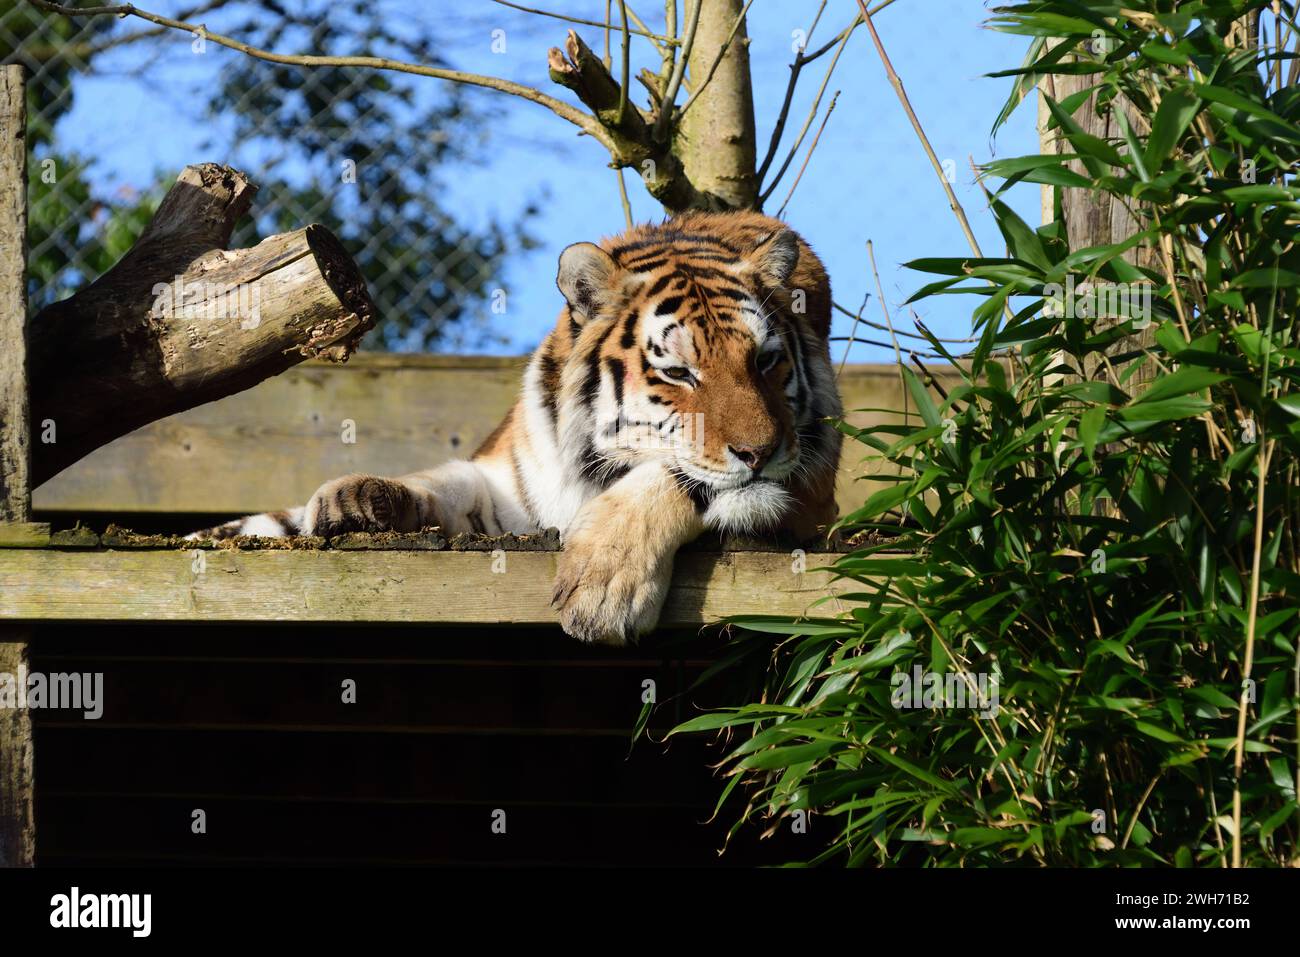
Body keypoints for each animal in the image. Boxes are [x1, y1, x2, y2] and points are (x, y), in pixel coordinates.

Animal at [192, 210, 843, 645]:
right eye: (679, 373)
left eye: (765, 361)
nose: (761, 452)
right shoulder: (508, 487)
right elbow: (446, 481)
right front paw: (357, 500)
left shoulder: (807, 491)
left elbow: (671, 477)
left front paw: (603, 585)